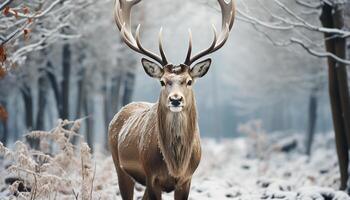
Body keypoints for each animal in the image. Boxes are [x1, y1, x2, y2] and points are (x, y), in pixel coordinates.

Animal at [108, 0, 235, 199]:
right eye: (162, 81)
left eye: (189, 81)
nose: (176, 99)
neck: (175, 166)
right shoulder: (151, 177)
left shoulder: (187, 179)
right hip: (119, 166)